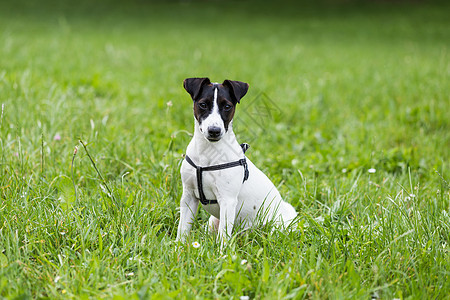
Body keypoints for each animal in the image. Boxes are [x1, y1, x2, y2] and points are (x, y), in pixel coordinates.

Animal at [177, 78, 298, 248]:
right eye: (203, 104)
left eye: (227, 106)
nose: (214, 130)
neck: (208, 153)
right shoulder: (189, 196)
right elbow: (182, 230)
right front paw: (177, 249)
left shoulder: (227, 201)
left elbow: (223, 237)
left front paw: (221, 254)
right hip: (212, 222)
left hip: (276, 227)